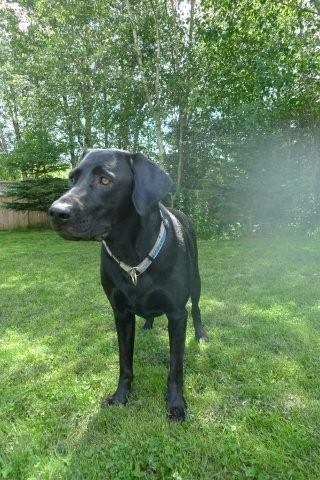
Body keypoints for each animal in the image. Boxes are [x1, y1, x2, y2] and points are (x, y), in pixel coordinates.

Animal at [48, 149, 206, 420]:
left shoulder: (177, 314)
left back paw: (201, 334)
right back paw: (148, 323)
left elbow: (175, 366)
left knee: (196, 308)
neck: (132, 253)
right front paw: (120, 396)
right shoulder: (120, 312)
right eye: (72, 178)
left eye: (105, 180)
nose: (56, 212)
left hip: (195, 281)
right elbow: (125, 361)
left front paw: (176, 403)